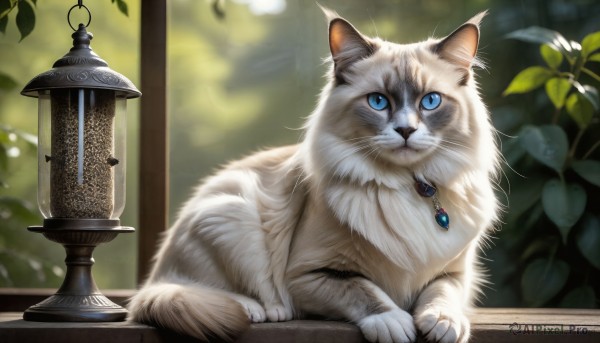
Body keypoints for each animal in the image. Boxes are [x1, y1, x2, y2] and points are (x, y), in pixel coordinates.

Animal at [129, 8, 500, 343]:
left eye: (431, 101)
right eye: (379, 102)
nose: (406, 130)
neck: (405, 186)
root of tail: (155, 275)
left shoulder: (455, 273)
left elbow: (441, 295)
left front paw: (443, 324)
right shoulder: (310, 274)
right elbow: (365, 290)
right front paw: (394, 322)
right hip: (233, 213)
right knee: (194, 290)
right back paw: (261, 310)